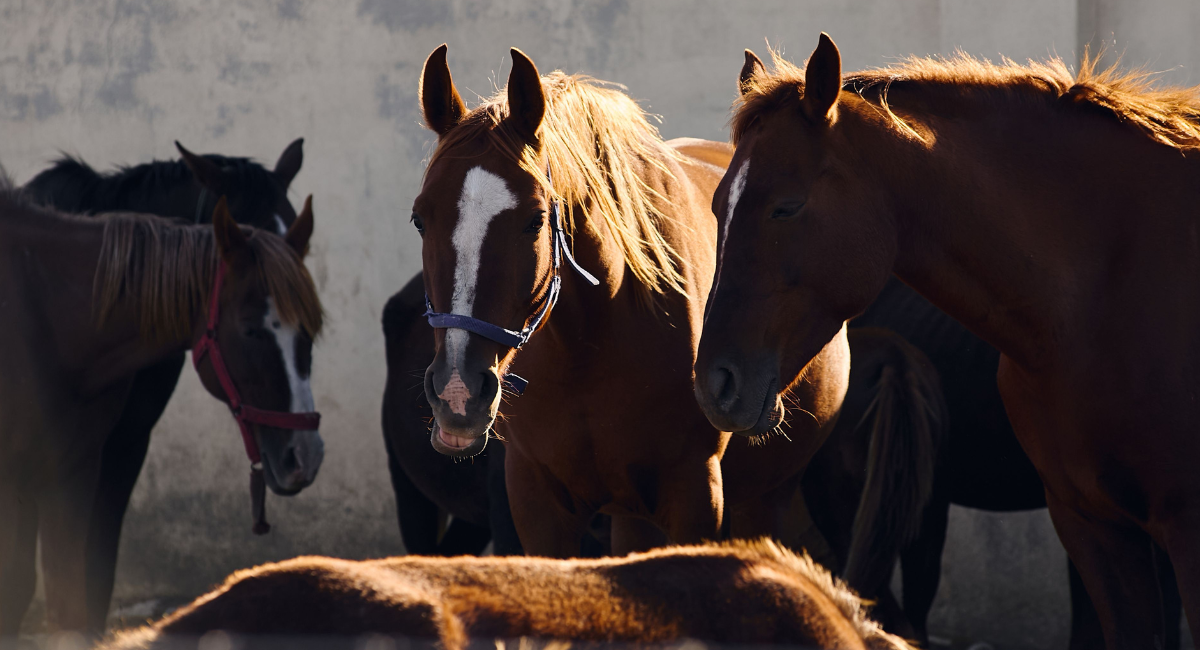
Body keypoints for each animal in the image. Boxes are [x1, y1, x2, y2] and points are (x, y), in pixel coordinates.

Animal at [0, 186, 323, 636]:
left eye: (309, 329)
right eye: (249, 329)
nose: (304, 455)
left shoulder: (72, 475)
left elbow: (68, 608)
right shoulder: (13, 480)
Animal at [413, 44, 850, 557]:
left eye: (535, 221)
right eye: (420, 219)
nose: (457, 393)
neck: (590, 345)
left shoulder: (695, 496)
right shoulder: (537, 503)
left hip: (766, 498)